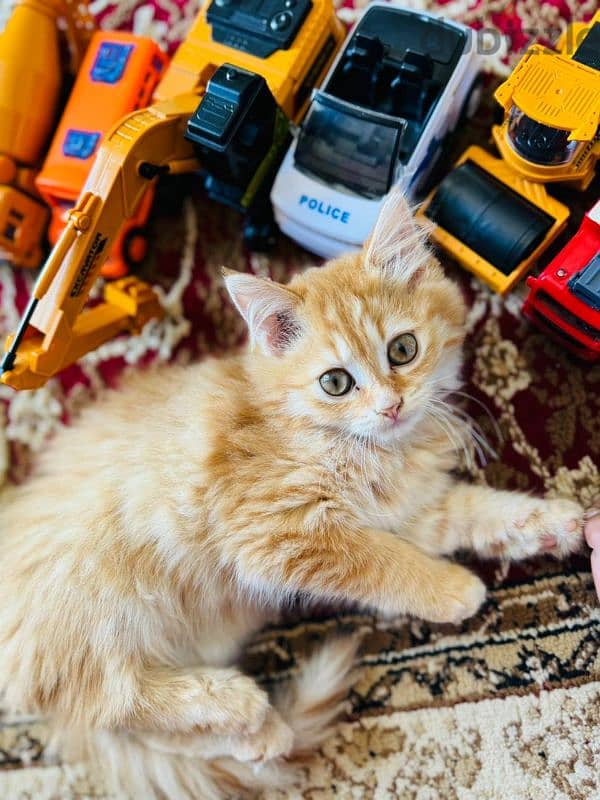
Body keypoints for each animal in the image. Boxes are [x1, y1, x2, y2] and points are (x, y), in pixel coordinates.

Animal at [0, 195, 584, 800]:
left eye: (403, 350)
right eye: (336, 383)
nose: (391, 406)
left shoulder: (409, 510)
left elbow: (474, 512)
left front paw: (552, 524)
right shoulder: (279, 532)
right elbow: (385, 565)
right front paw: (454, 590)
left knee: (135, 725)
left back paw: (261, 736)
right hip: (102, 608)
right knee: (115, 701)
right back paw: (243, 707)